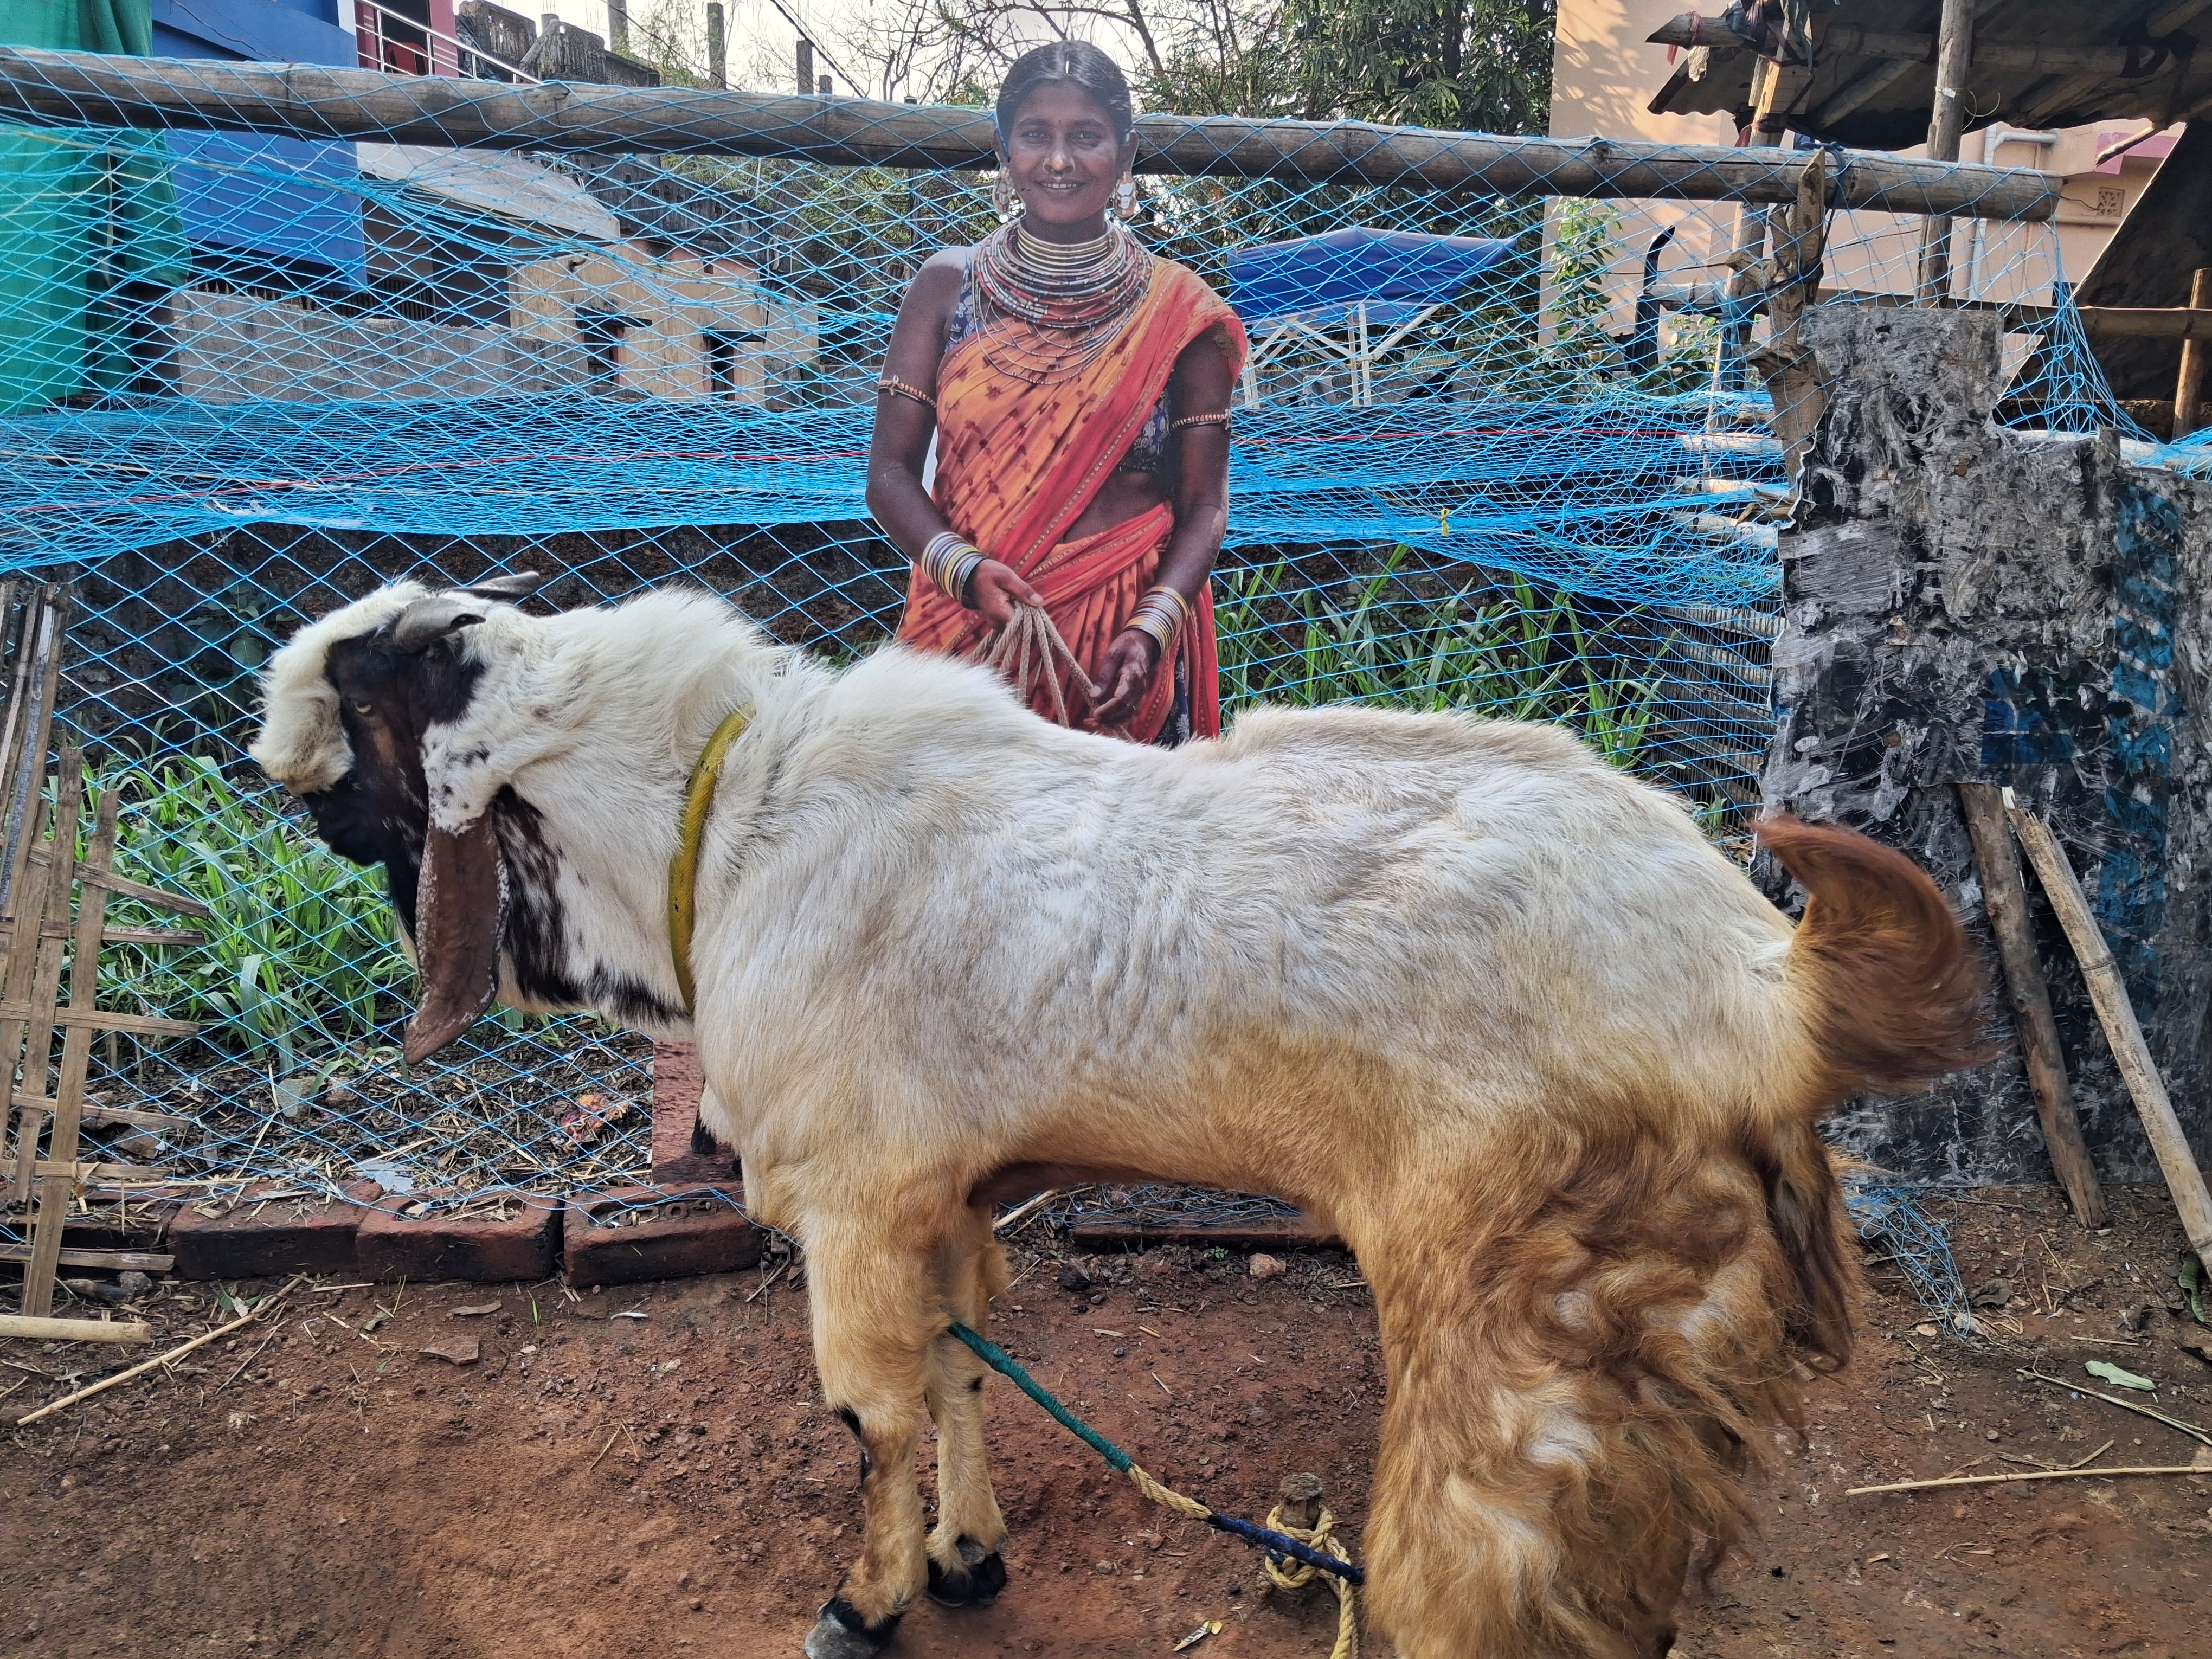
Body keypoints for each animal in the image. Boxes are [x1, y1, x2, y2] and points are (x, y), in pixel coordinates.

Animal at [251, 576, 1986, 1659]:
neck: (729, 820)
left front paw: (866, 1602)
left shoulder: (856, 1196)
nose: (293, 805)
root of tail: (1756, 979)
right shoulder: (942, 1193)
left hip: (1520, 1364)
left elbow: (870, 1412)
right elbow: (960, 1362)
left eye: (365, 703)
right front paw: (969, 1559)